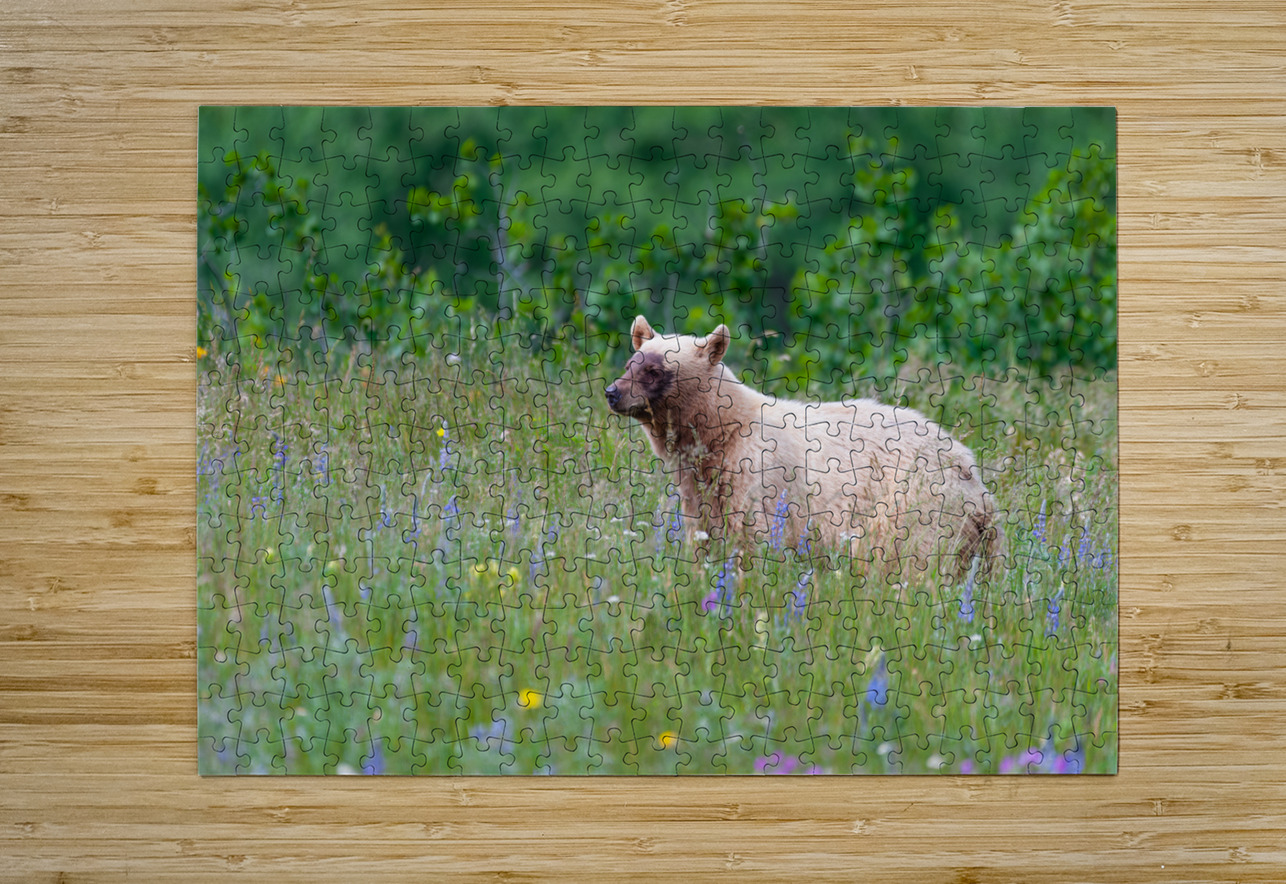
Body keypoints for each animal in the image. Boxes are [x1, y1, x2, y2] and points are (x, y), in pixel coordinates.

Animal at [605, 315, 1002, 578]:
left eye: (655, 370)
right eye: (630, 363)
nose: (612, 392)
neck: (718, 434)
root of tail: (975, 484)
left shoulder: (759, 475)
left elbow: (755, 541)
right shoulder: (697, 487)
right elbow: (703, 535)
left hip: (916, 511)